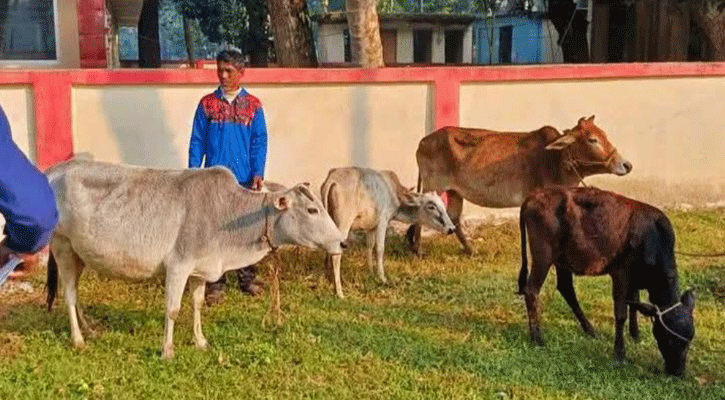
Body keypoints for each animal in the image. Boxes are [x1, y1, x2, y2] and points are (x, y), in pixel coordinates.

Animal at [45, 159, 346, 360]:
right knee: (69, 294)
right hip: (62, 245)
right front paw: (167, 351)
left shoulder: (201, 270)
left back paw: (90, 329)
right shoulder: (178, 266)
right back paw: (78, 339)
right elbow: (173, 309)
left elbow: (197, 305)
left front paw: (200, 341)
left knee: (76, 293)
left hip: (79, 253)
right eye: (312, 210)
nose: (342, 241)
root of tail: (56, 170)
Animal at [320, 166, 456, 296]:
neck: (394, 193)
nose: (452, 228)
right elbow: (380, 249)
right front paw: (382, 277)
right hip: (344, 223)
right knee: (337, 254)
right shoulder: (382, 222)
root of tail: (333, 178)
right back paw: (339, 292)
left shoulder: (371, 227)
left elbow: (369, 246)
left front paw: (370, 271)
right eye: (431, 206)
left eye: (443, 205)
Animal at [410, 115, 632, 255]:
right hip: (434, 186)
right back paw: (419, 250)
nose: (626, 165)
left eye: (603, 135)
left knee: (454, 218)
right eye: (592, 139)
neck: (556, 158)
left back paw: (471, 250)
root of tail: (423, 141)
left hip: (455, 192)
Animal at [516, 186, 692, 376]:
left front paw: (635, 335)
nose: (678, 372)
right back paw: (537, 338)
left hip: (562, 260)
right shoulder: (621, 274)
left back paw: (590, 330)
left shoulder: (634, 279)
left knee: (565, 288)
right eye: (670, 338)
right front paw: (620, 354)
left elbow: (634, 305)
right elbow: (621, 314)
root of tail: (534, 196)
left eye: (689, 340)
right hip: (543, 256)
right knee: (531, 290)